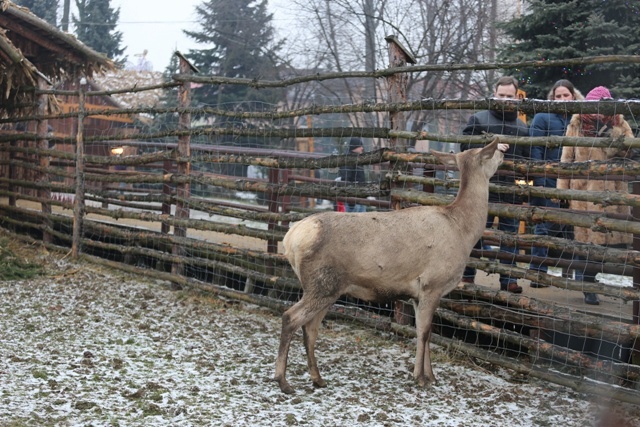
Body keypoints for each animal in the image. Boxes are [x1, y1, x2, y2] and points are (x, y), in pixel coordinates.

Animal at [276, 137, 504, 394]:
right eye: (489, 152)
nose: (505, 149)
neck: (463, 232)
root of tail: (290, 238)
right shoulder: (432, 284)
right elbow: (424, 332)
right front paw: (421, 377)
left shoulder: (417, 294)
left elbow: (425, 331)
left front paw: (432, 376)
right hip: (321, 283)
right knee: (290, 317)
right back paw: (283, 381)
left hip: (328, 288)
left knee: (311, 327)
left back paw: (318, 378)